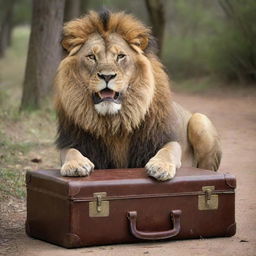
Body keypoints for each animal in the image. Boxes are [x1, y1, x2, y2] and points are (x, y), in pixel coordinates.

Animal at [54, 11, 222, 181]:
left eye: (120, 56)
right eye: (91, 56)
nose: (107, 76)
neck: (114, 122)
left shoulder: (164, 139)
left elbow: (168, 150)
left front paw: (160, 166)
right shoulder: (73, 142)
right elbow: (70, 151)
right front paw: (76, 164)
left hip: (200, 121)